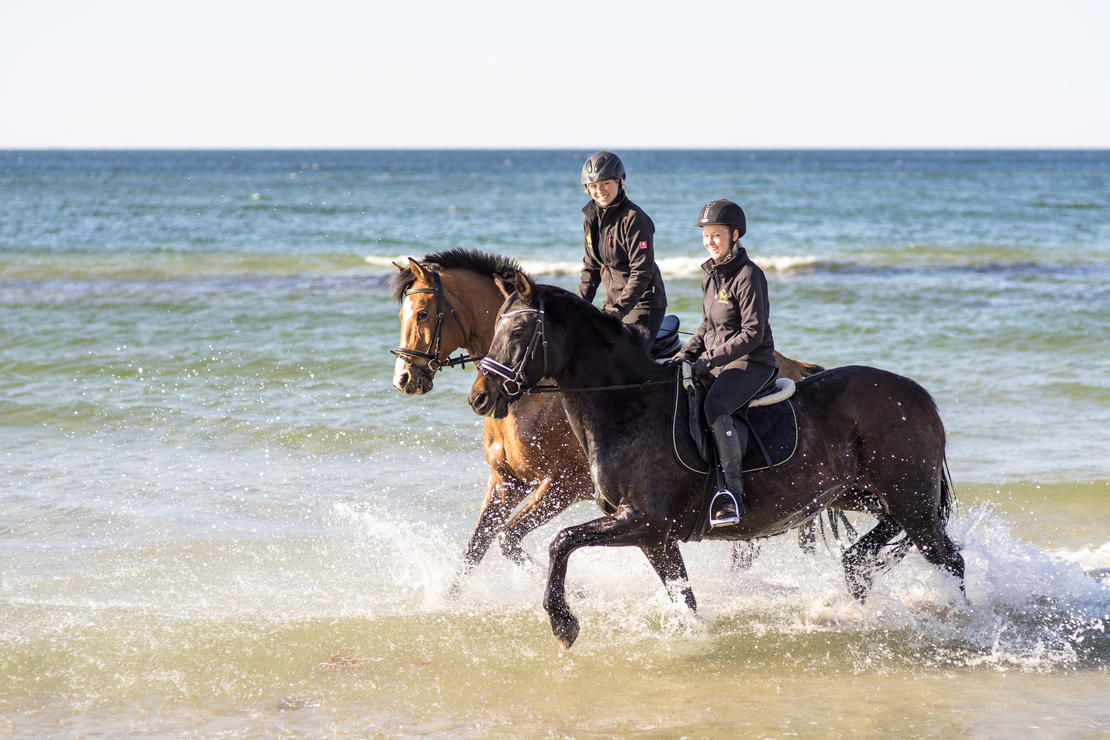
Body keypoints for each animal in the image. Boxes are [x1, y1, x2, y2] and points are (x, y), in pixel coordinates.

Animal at [390, 249, 828, 587]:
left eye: (424, 313)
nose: (404, 379)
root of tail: (795, 366)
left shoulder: (560, 487)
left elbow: (508, 540)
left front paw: (576, 592)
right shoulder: (505, 482)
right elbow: (475, 550)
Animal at [468, 271, 966, 649]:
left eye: (518, 332)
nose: (479, 398)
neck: (629, 407)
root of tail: (918, 396)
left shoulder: (642, 520)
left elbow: (561, 541)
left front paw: (563, 623)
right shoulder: (655, 537)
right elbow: (682, 597)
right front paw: (692, 635)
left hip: (910, 498)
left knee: (949, 559)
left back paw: (960, 620)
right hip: (863, 495)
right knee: (873, 549)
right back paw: (858, 584)